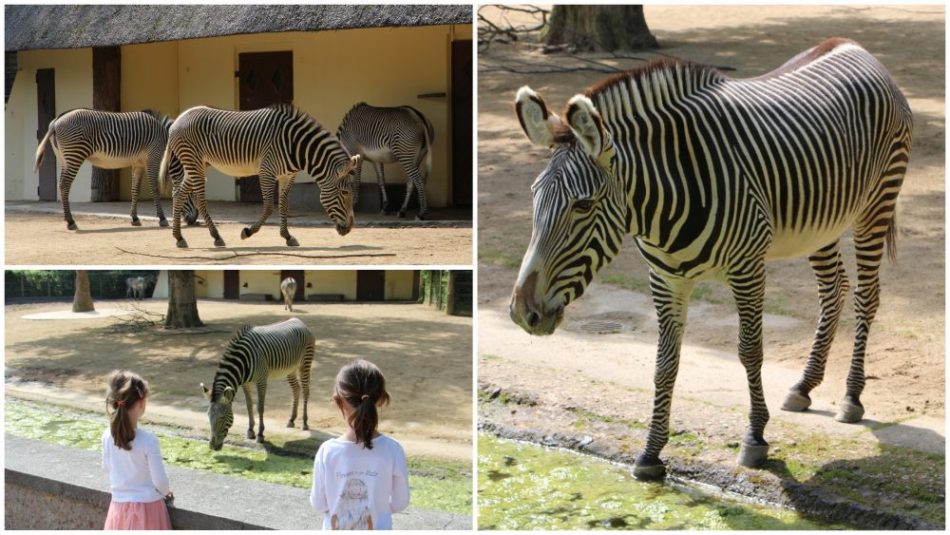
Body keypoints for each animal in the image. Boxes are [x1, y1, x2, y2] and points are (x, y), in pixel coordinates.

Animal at [32, 109, 199, 230]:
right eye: (191, 192)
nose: (194, 219)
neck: (165, 140)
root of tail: (56, 122)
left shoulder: (138, 163)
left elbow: (135, 190)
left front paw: (135, 219)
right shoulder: (154, 158)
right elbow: (154, 189)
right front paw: (162, 219)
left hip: (63, 159)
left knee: (61, 185)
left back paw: (67, 220)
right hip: (75, 155)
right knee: (64, 186)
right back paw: (71, 222)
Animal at [160, 104, 360, 249]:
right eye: (344, 193)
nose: (349, 228)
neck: (296, 147)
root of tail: (177, 121)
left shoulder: (288, 176)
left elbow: (284, 206)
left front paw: (288, 236)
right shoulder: (266, 172)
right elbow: (269, 208)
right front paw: (248, 232)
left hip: (197, 164)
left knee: (178, 194)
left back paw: (179, 237)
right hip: (193, 161)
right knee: (200, 200)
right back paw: (216, 236)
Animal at [201, 316, 316, 450]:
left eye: (222, 417)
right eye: (208, 415)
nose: (212, 446)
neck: (242, 363)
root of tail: (299, 320)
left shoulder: (261, 380)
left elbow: (260, 407)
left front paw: (260, 434)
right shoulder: (245, 383)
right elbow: (249, 405)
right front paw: (250, 430)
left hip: (305, 363)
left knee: (306, 390)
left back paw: (304, 422)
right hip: (290, 369)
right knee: (296, 389)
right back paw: (291, 420)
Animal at [510, 38, 912, 482]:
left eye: (582, 206)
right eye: (533, 195)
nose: (521, 312)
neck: (663, 201)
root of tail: (853, 46)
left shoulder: (748, 268)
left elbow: (749, 350)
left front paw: (755, 438)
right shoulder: (665, 278)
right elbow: (664, 362)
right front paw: (651, 452)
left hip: (875, 203)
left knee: (866, 296)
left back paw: (851, 397)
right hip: (821, 220)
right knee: (834, 289)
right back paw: (804, 386)